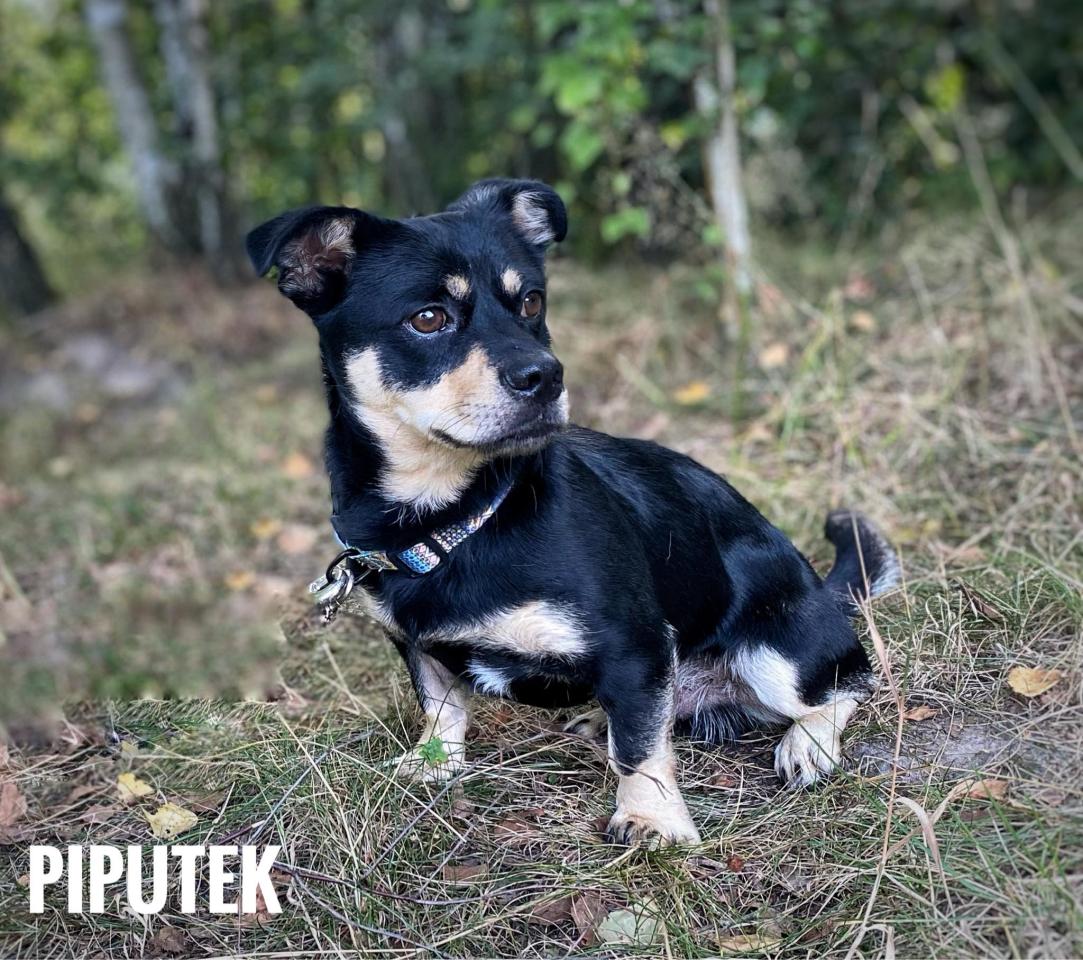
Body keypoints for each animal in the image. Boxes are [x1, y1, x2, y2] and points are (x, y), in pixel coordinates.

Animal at [246, 179, 899, 846]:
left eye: (531, 302)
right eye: (428, 318)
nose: (547, 375)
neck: (454, 518)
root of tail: (822, 589)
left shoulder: (635, 644)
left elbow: (639, 748)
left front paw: (652, 818)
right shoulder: (417, 644)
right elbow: (441, 707)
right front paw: (433, 766)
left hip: (774, 650)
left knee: (849, 683)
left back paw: (807, 744)